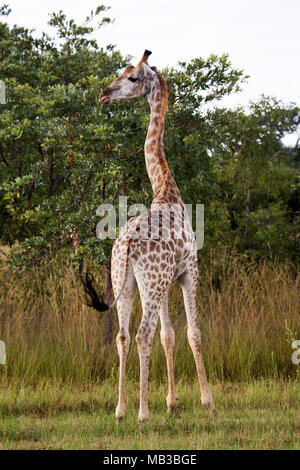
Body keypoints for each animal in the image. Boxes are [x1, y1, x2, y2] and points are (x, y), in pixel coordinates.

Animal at [84, 49, 216, 420]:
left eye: (131, 77)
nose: (104, 94)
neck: (166, 188)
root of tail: (127, 243)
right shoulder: (189, 272)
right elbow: (193, 333)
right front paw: (207, 400)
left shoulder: (166, 281)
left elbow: (169, 335)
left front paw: (172, 401)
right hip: (151, 284)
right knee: (143, 334)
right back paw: (143, 413)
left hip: (127, 282)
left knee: (124, 336)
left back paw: (121, 409)